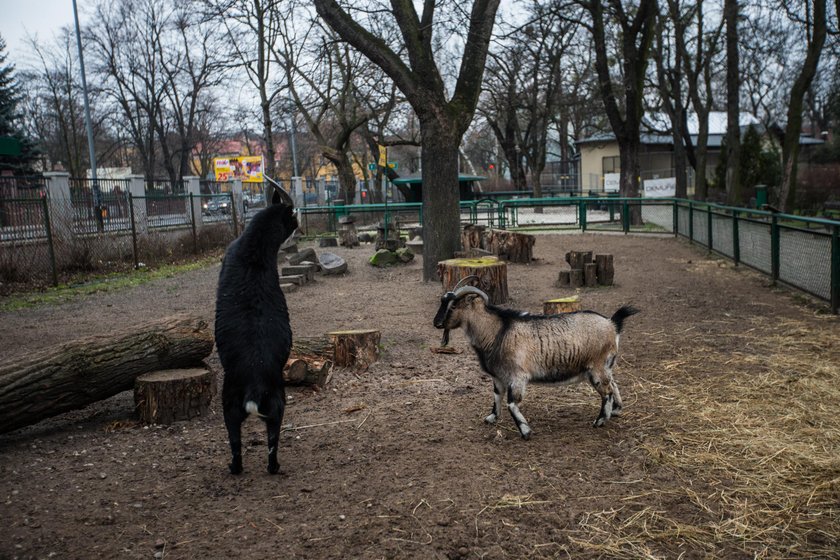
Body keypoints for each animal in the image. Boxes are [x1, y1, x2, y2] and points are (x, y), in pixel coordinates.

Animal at [215, 187, 296, 472]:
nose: (298, 224)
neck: (253, 251)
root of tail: (254, 385)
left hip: (237, 403)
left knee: (245, 443)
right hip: (264, 403)